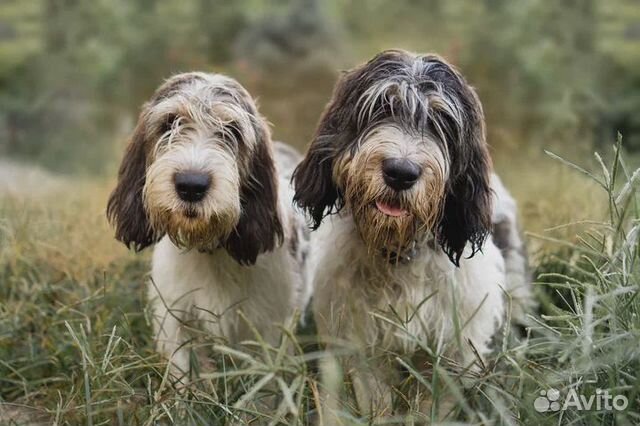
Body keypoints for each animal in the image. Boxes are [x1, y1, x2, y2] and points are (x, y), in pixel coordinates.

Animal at [106, 72, 312, 380]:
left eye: (232, 131)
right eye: (169, 123)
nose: (191, 185)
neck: (211, 249)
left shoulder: (270, 327)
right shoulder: (175, 319)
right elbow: (183, 375)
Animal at [292, 50, 532, 416]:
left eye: (441, 121)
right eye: (382, 107)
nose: (400, 172)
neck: (400, 251)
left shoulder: (455, 350)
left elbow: (432, 406)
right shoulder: (363, 342)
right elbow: (375, 402)